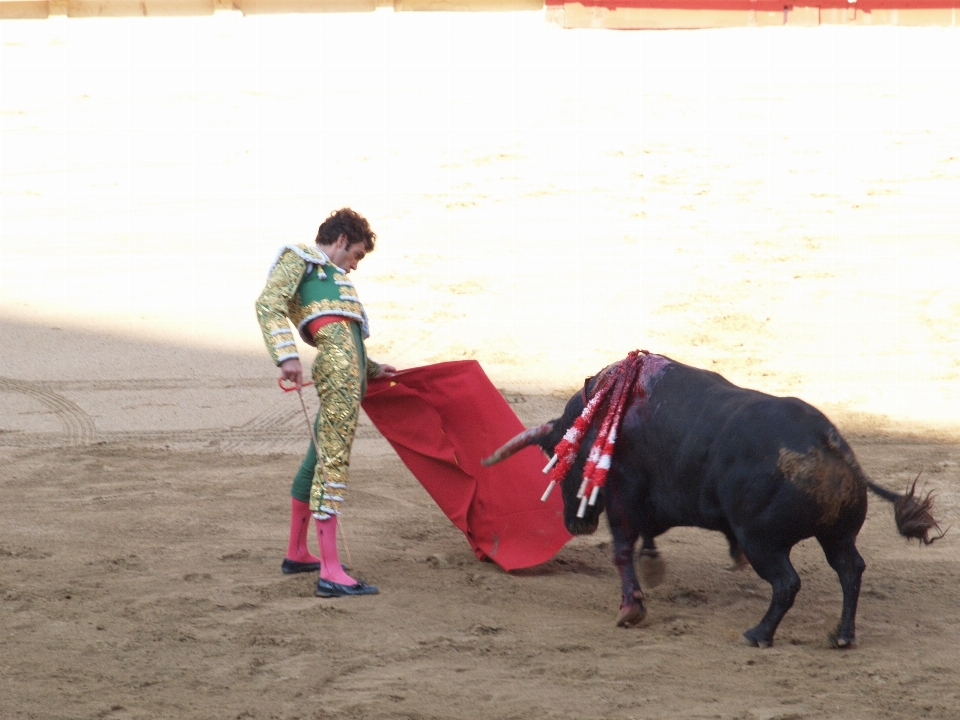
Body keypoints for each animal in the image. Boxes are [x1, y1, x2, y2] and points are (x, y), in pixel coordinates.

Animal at [484, 354, 940, 648]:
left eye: (560, 458)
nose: (574, 523)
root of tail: (831, 445)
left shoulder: (622, 495)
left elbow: (621, 550)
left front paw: (630, 608)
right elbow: (645, 538)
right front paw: (652, 565)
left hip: (763, 542)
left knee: (787, 583)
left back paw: (759, 635)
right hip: (837, 535)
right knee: (850, 570)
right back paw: (842, 635)